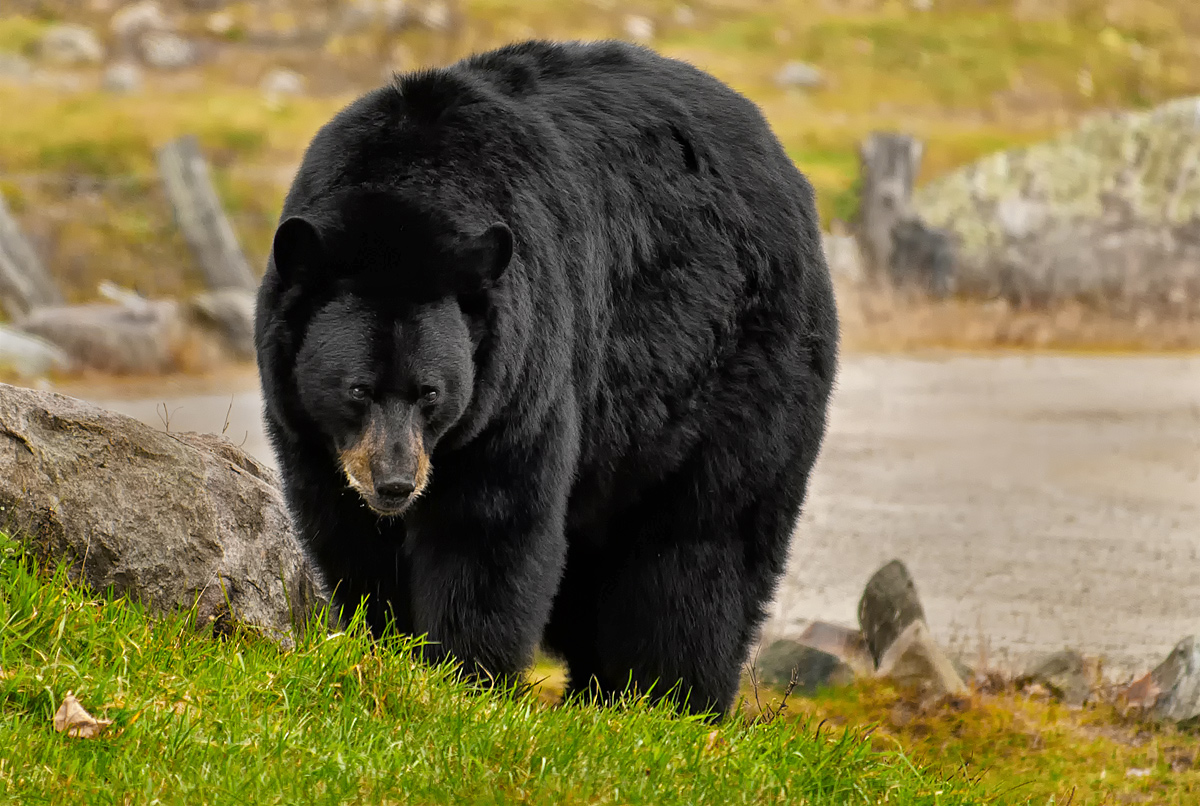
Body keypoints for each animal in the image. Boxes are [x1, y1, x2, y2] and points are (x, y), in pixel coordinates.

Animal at [255, 39, 838, 717]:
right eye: (357, 390)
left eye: (431, 392)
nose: (396, 483)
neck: (405, 200)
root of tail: (783, 165)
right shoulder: (309, 425)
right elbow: (347, 533)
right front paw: (387, 646)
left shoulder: (522, 365)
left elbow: (492, 522)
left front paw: (465, 677)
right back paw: (604, 695)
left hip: (738, 363)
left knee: (702, 543)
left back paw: (668, 699)